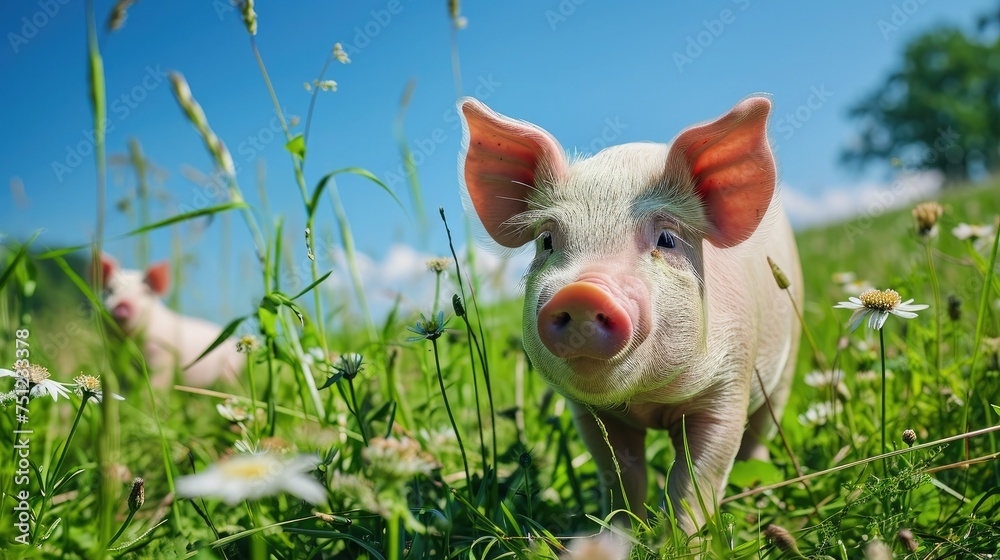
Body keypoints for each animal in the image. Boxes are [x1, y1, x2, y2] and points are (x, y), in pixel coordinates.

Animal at [98, 255, 243, 390]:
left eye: (145, 292)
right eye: (110, 290)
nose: (122, 305)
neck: (131, 337)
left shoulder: (164, 352)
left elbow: (160, 377)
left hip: (229, 370)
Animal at [460, 94, 804, 532]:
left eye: (667, 239)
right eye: (546, 240)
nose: (583, 292)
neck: (645, 399)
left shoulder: (728, 385)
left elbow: (696, 479)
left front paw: (683, 539)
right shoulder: (590, 413)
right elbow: (621, 475)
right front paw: (620, 534)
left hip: (789, 351)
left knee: (763, 427)